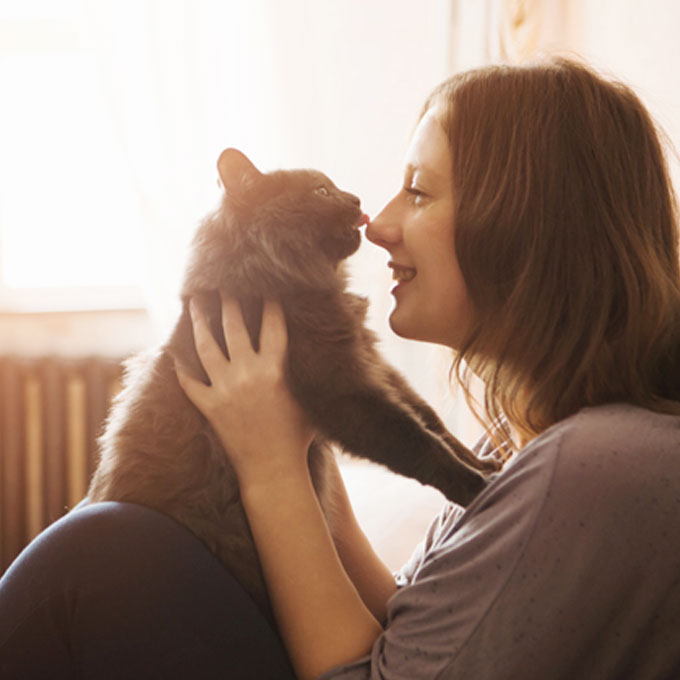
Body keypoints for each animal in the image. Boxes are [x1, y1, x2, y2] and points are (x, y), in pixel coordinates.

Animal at [87, 147, 496, 620]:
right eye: (320, 191)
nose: (356, 199)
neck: (285, 288)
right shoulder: (343, 390)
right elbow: (416, 441)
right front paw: (475, 486)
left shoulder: (372, 364)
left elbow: (432, 422)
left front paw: (484, 461)